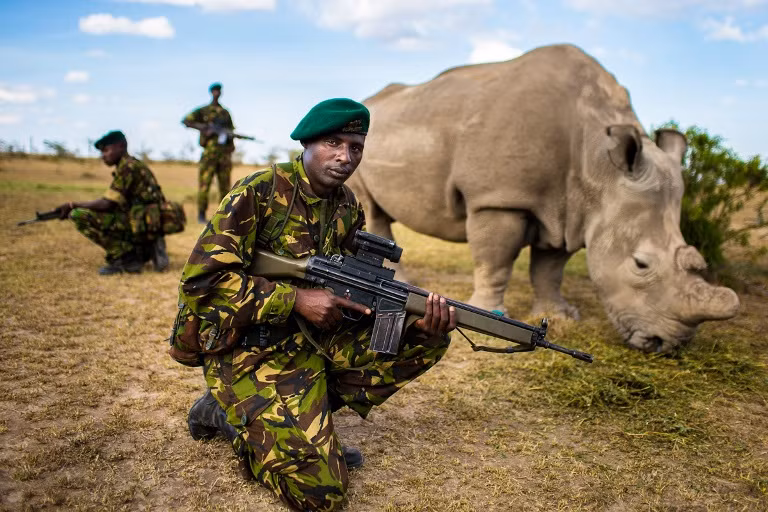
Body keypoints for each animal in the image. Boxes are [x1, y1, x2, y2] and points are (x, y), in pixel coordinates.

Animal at [347, 44, 740, 353]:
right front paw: (492, 311)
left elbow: (550, 268)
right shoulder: (499, 198)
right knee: (371, 209)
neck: (598, 163)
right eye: (640, 264)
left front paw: (560, 314)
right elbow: (495, 260)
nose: (667, 345)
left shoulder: (572, 210)